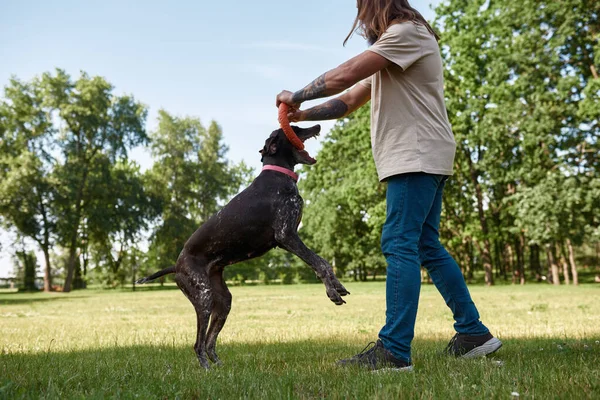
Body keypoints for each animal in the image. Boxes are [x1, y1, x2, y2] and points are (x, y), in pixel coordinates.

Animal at [137, 124, 350, 368]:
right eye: (295, 128)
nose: (317, 125)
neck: (278, 175)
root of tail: (177, 265)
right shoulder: (287, 236)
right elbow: (319, 262)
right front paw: (332, 291)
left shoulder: (290, 238)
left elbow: (323, 261)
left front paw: (337, 285)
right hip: (203, 297)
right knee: (198, 344)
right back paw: (206, 369)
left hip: (222, 301)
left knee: (210, 342)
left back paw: (220, 367)